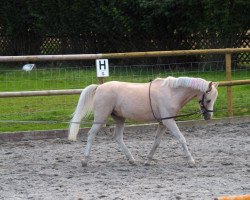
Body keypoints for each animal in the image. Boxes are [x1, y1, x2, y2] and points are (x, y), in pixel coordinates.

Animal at [69, 76, 219, 166]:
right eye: (208, 100)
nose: (208, 117)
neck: (171, 93)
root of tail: (99, 87)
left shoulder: (163, 123)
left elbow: (157, 142)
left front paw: (147, 160)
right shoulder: (169, 122)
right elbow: (181, 139)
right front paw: (191, 160)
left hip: (119, 118)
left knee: (118, 137)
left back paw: (132, 160)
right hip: (101, 117)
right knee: (91, 135)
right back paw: (85, 160)